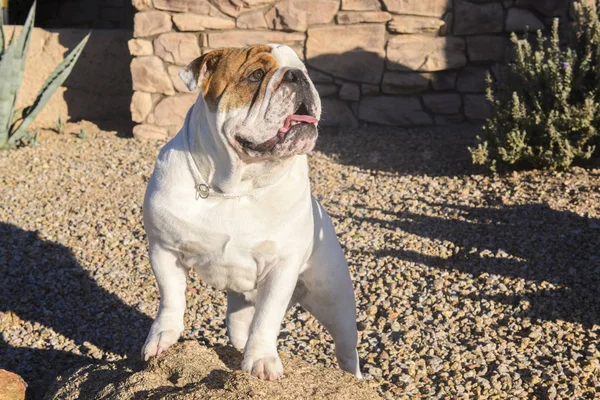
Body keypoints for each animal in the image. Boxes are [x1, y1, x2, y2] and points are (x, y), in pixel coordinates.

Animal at [141, 43, 360, 382]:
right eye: (256, 75)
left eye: (304, 70)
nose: (296, 77)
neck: (235, 187)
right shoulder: (164, 250)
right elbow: (171, 299)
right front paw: (163, 337)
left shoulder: (280, 268)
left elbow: (267, 319)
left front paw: (262, 359)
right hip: (240, 304)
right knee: (239, 328)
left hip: (336, 303)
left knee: (347, 349)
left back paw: (355, 377)